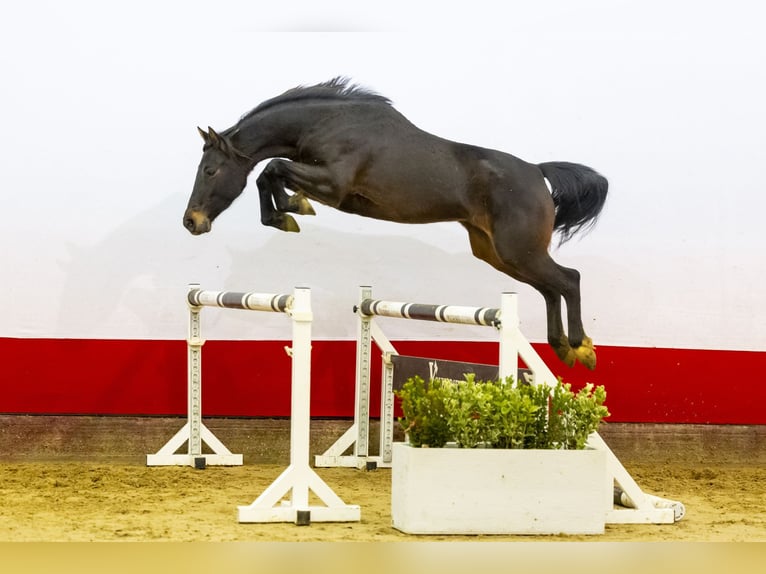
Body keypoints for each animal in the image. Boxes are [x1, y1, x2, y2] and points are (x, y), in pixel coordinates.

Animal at [183, 79, 608, 372]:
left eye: (210, 170)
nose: (191, 222)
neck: (326, 124)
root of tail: (537, 171)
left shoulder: (333, 185)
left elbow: (272, 168)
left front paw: (290, 210)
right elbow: (269, 174)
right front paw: (286, 214)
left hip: (518, 250)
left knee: (568, 279)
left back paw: (580, 347)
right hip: (498, 254)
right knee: (551, 288)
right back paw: (564, 348)